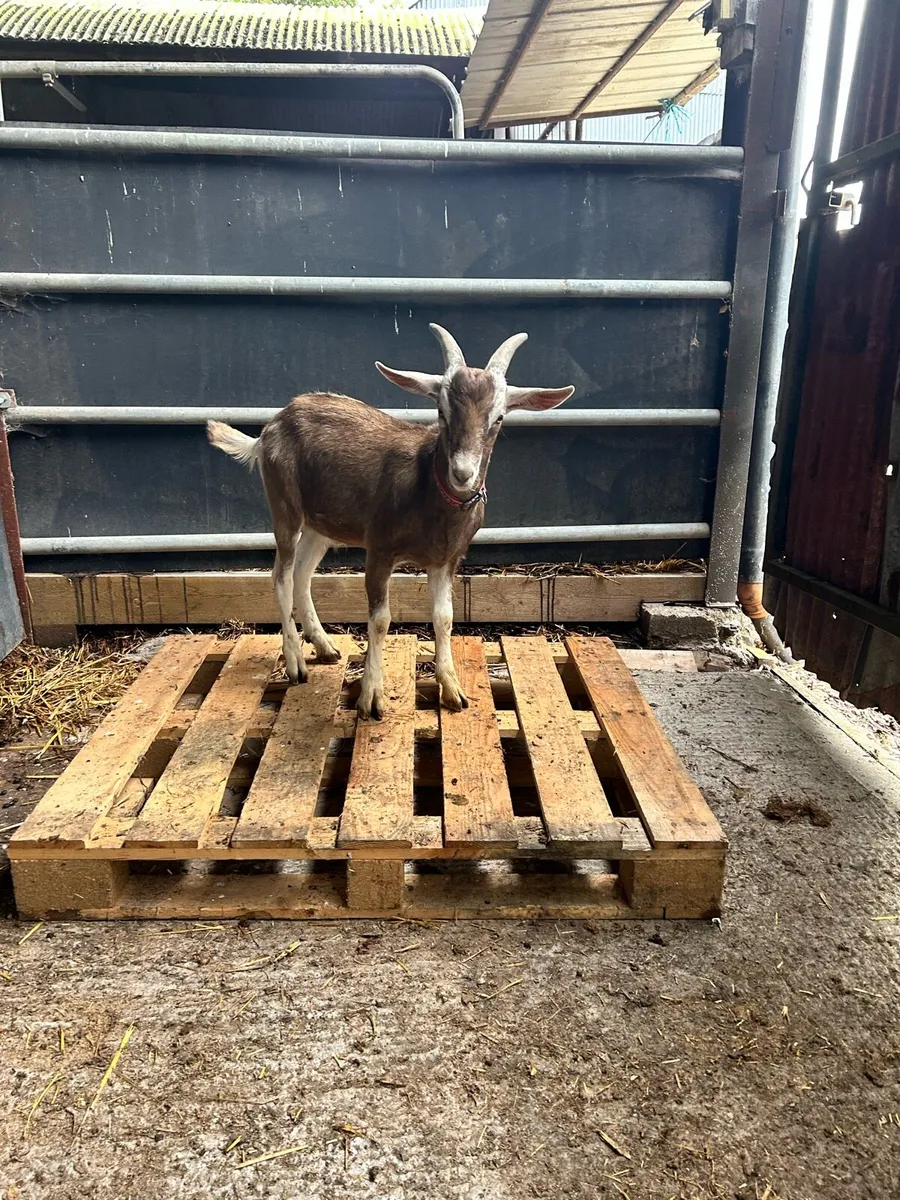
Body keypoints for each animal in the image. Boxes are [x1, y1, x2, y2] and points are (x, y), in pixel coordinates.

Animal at [208, 324, 574, 719]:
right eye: (442, 411)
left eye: (499, 418)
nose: (463, 473)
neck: (428, 491)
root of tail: (269, 430)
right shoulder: (379, 548)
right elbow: (381, 620)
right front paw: (371, 698)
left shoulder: (447, 559)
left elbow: (444, 617)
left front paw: (453, 691)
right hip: (284, 504)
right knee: (282, 576)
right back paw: (295, 665)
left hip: (322, 523)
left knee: (303, 573)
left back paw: (324, 646)